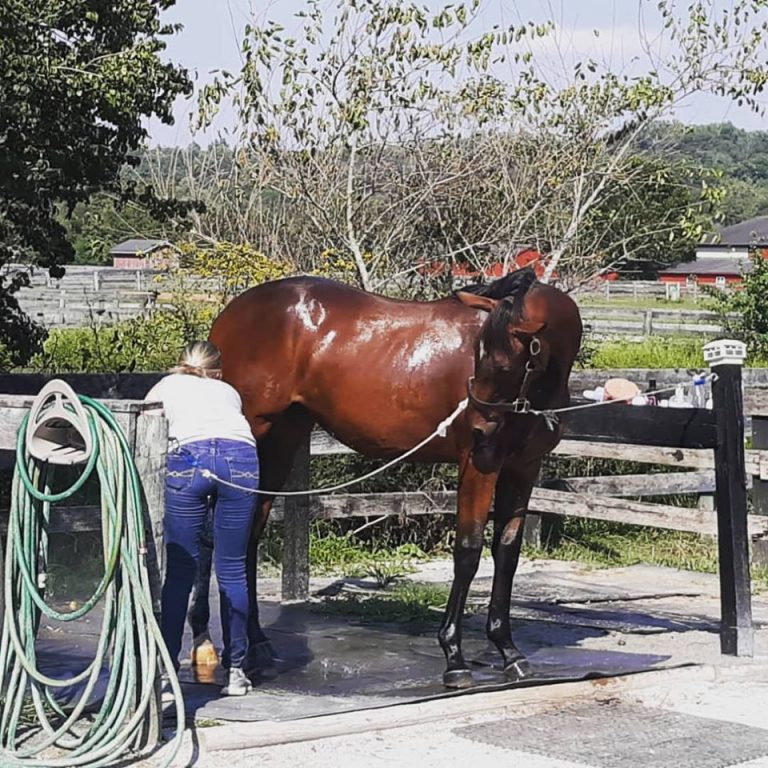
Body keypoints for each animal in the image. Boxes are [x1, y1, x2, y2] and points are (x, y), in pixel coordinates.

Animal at [194, 268, 584, 688]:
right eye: (481, 359)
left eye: (505, 364)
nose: (479, 427)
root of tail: (231, 315)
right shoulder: (481, 463)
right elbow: (468, 550)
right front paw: (454, 657)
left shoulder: (523, 468)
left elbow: (507, 553)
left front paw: (509, 651)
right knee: (215, 536)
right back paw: (209, 645)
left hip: (281, 441)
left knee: (247, 536)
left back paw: (257, 645)